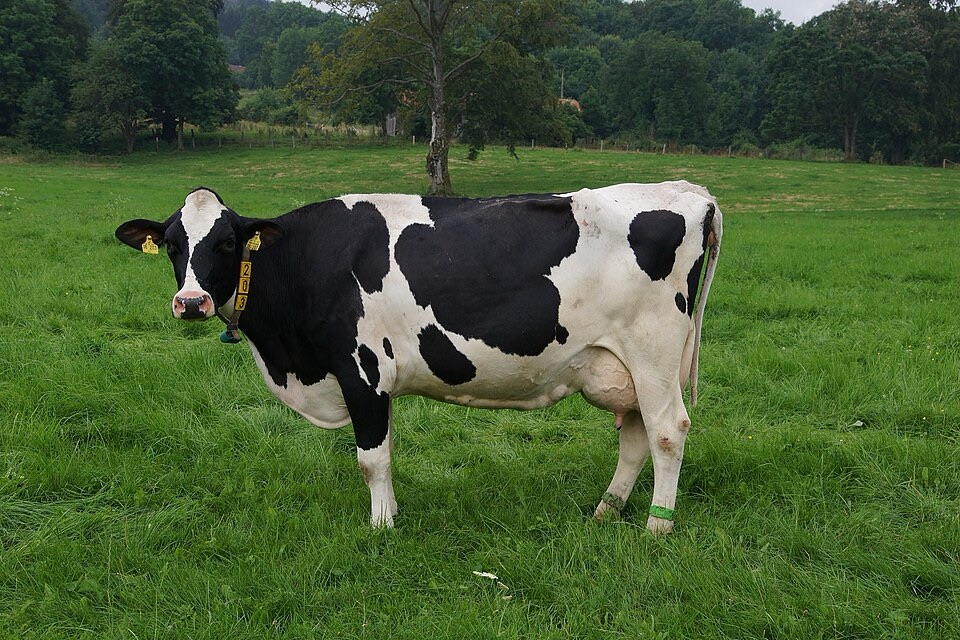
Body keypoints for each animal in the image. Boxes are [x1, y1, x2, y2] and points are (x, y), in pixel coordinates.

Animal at [115, 181, 721, 533]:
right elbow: (380, 455)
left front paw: (382, 527)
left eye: (226, 243)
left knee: (668, 430)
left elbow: (371, 459)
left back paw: (657, 528)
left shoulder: (361, 370)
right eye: (172, 244)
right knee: (636, 434)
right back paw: (606, 511)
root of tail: (688, 191)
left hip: (654, 353)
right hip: (621, 365)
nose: (190, 302)